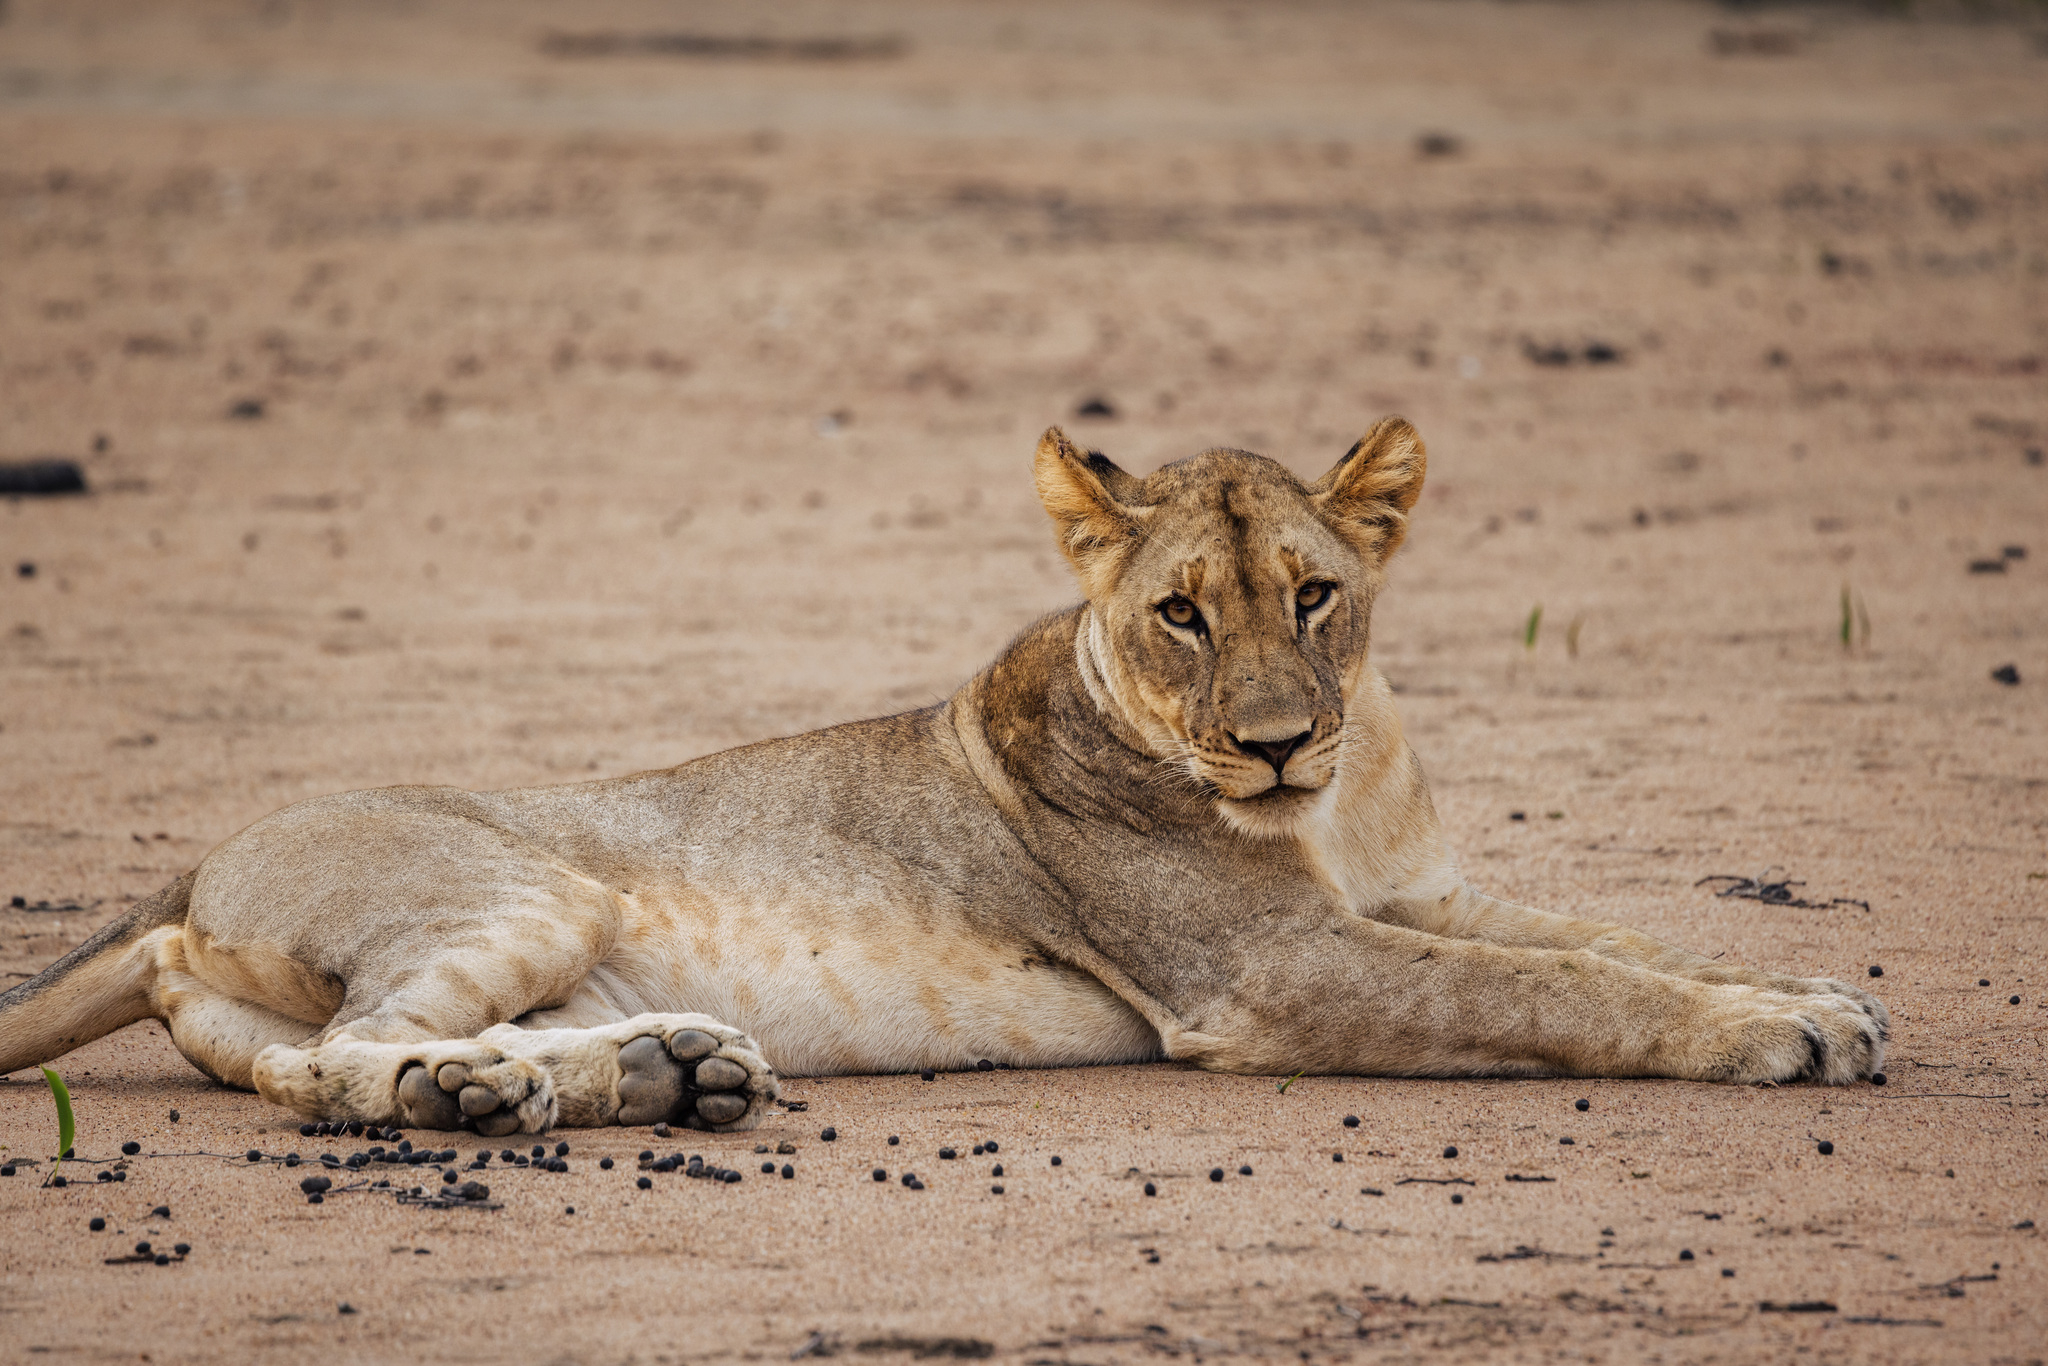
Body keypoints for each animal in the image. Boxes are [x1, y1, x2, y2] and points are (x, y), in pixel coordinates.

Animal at [0, 419, 1887, 1134]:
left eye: (1314, 594)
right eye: (1180, 613)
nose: (1273, 741)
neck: (1341, 795)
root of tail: (195, 866)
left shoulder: (1422, 889)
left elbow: (1617, 940)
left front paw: (1810, 989)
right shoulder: (1267, 969)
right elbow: (1557, 993)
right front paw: (1778, 1037)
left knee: (280, 1047)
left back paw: (655, 1070)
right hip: (516, 886)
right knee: (338, 1056)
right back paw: (478, 1094)